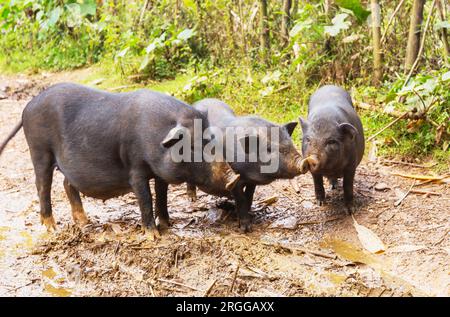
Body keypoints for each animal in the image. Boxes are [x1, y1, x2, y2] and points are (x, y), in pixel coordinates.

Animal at [0, 82, 239, 238]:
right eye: (193, 146)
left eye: (211, 139)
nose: (233, 178)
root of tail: (29, 106)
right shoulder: (135, 169)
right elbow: (145, 199)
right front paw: (153, 236)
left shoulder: (159, 173)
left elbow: (162, 197)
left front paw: (168, 225)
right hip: (39, 150)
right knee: (42, 186)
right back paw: (52, 228)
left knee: (67, 183)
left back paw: (84, 222)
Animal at [185, 97, 304, 231]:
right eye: (268, 149)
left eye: (290, 142)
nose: (304, 162)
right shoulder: (234, 178)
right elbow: (241, 199)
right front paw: (246, 229)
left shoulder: (252, 181)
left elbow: (249, 195)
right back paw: (192, 199)